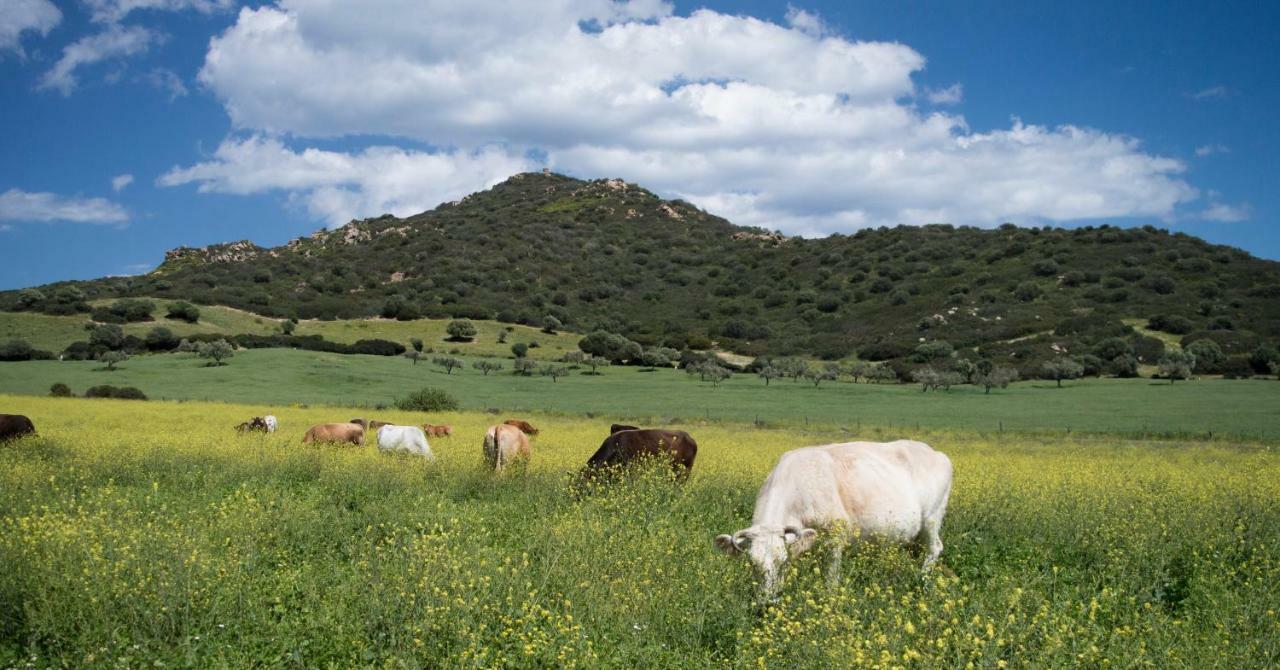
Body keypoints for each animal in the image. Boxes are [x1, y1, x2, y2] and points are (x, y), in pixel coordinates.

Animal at [716, 440, 957, 596]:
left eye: (782, 562)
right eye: (752, 564)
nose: (768, 602)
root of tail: (935, 453)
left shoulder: (835, 537)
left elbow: (831, 578)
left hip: (932, 518)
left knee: (935, 547)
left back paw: (922, 580)